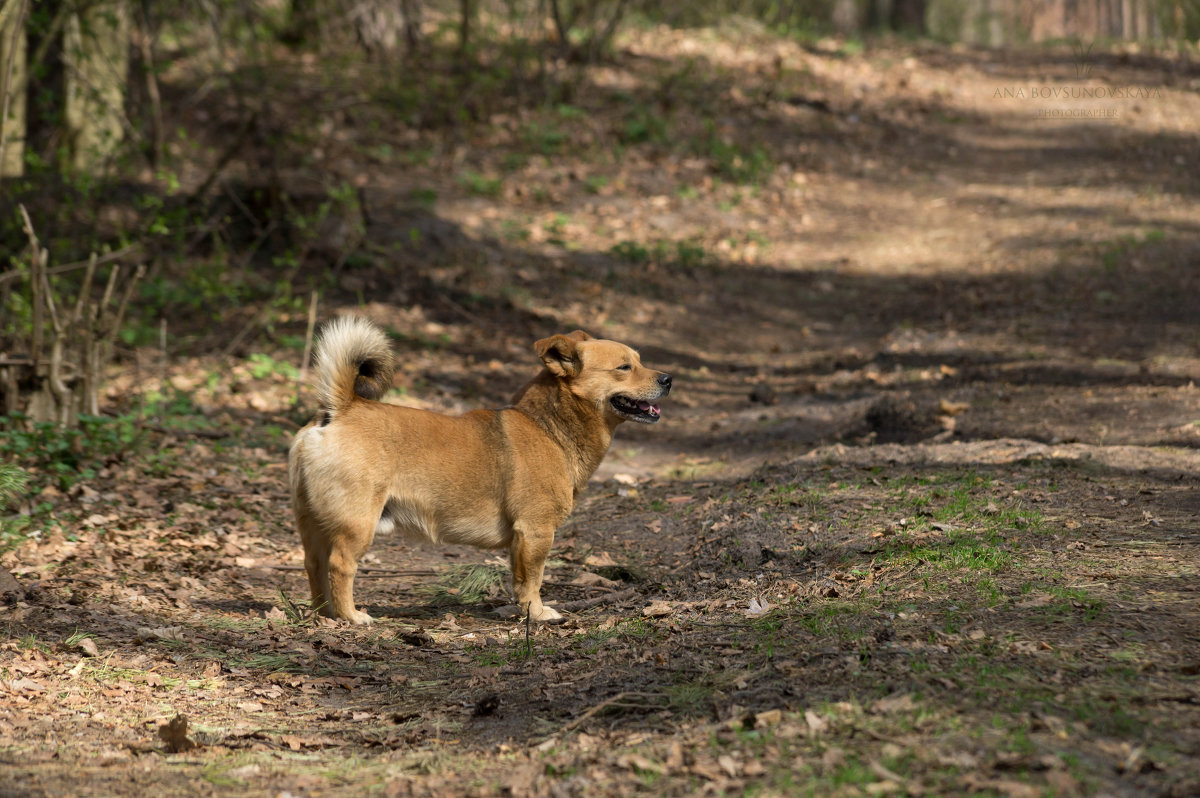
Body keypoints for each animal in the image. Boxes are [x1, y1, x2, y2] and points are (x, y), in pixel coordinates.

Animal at [286, 316, 672, 624]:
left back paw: (325, 614)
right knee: (340, 566)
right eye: (624, 367)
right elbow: (533, 580)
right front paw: (537, 614)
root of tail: (340, 409)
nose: (668, 379)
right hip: (357, 525)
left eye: (639, 362)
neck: (547, 427)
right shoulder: (536, 532)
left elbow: (519, 581)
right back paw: (351, 616)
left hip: (313, 524)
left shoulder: (521, 539)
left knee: (314, 565)